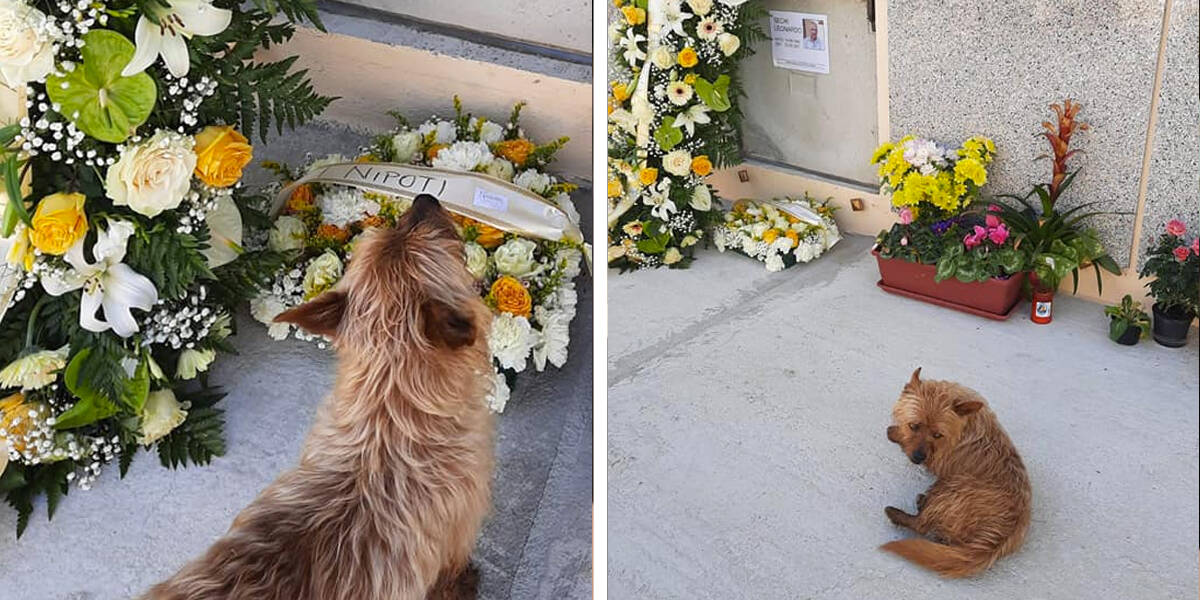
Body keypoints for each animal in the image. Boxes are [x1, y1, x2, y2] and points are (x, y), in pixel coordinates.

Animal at [141, 194, 496, 597]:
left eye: (395, 228)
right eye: (435, 240)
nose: (425, 198)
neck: (390, 404)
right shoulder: (455, 538)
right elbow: (451, 577)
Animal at [883, 367, 1032, 578]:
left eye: (937, 435)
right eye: (914, 426)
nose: (918, 458)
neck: (964, 426)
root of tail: (998, 538)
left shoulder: (937, 461)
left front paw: (895, 433)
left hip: (952, 486)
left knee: (922, 526)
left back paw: (899, 513)